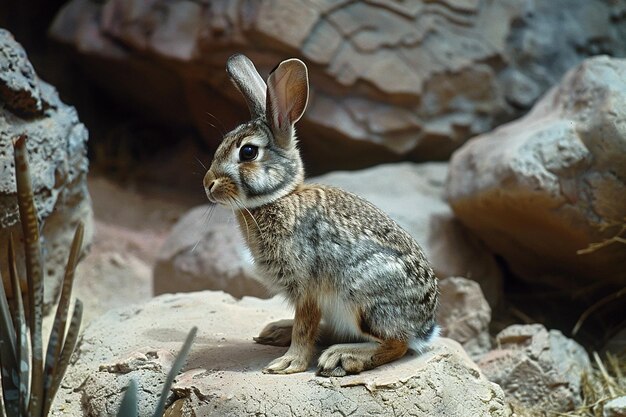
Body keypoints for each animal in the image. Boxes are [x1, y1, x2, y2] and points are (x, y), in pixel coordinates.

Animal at [205, 53, 438, 376]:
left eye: (248, 152)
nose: (208, 184)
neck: (281, 197)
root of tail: (425, 329)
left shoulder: (307, 288)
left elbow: (305, 327)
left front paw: (288, 364)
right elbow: (307, 326)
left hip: (362, 297)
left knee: (397, 344)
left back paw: (342, 356)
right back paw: (277, 331)